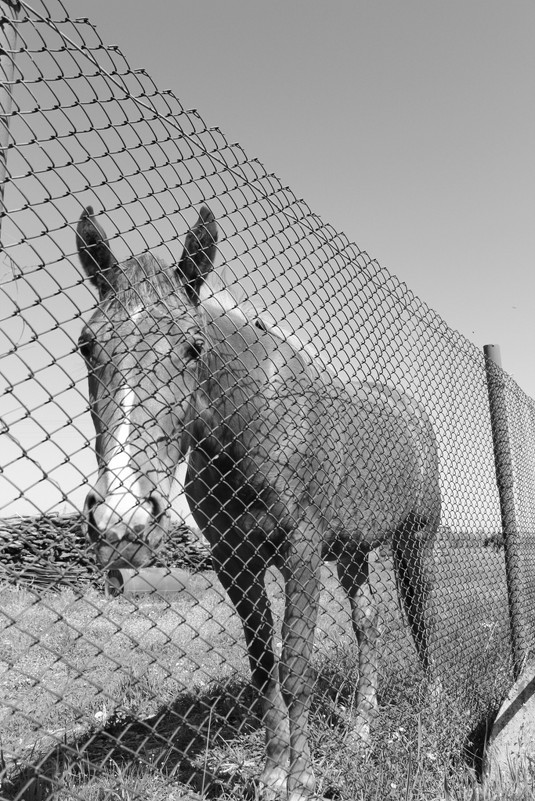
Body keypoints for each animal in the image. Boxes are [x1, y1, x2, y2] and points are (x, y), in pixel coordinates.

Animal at [77, 205, 442, 800]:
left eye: (193, 347)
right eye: (87, 345)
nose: (123, 519)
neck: (255, 421)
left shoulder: (301, 554)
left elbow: (296, 671)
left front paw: (303, 777)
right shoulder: (235, 563)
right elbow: (263, 671)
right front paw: (272, 773)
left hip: (415, 544)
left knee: (421, 616)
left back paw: (431, 707)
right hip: (353, 556)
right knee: (368, 627)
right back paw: (360, 731)